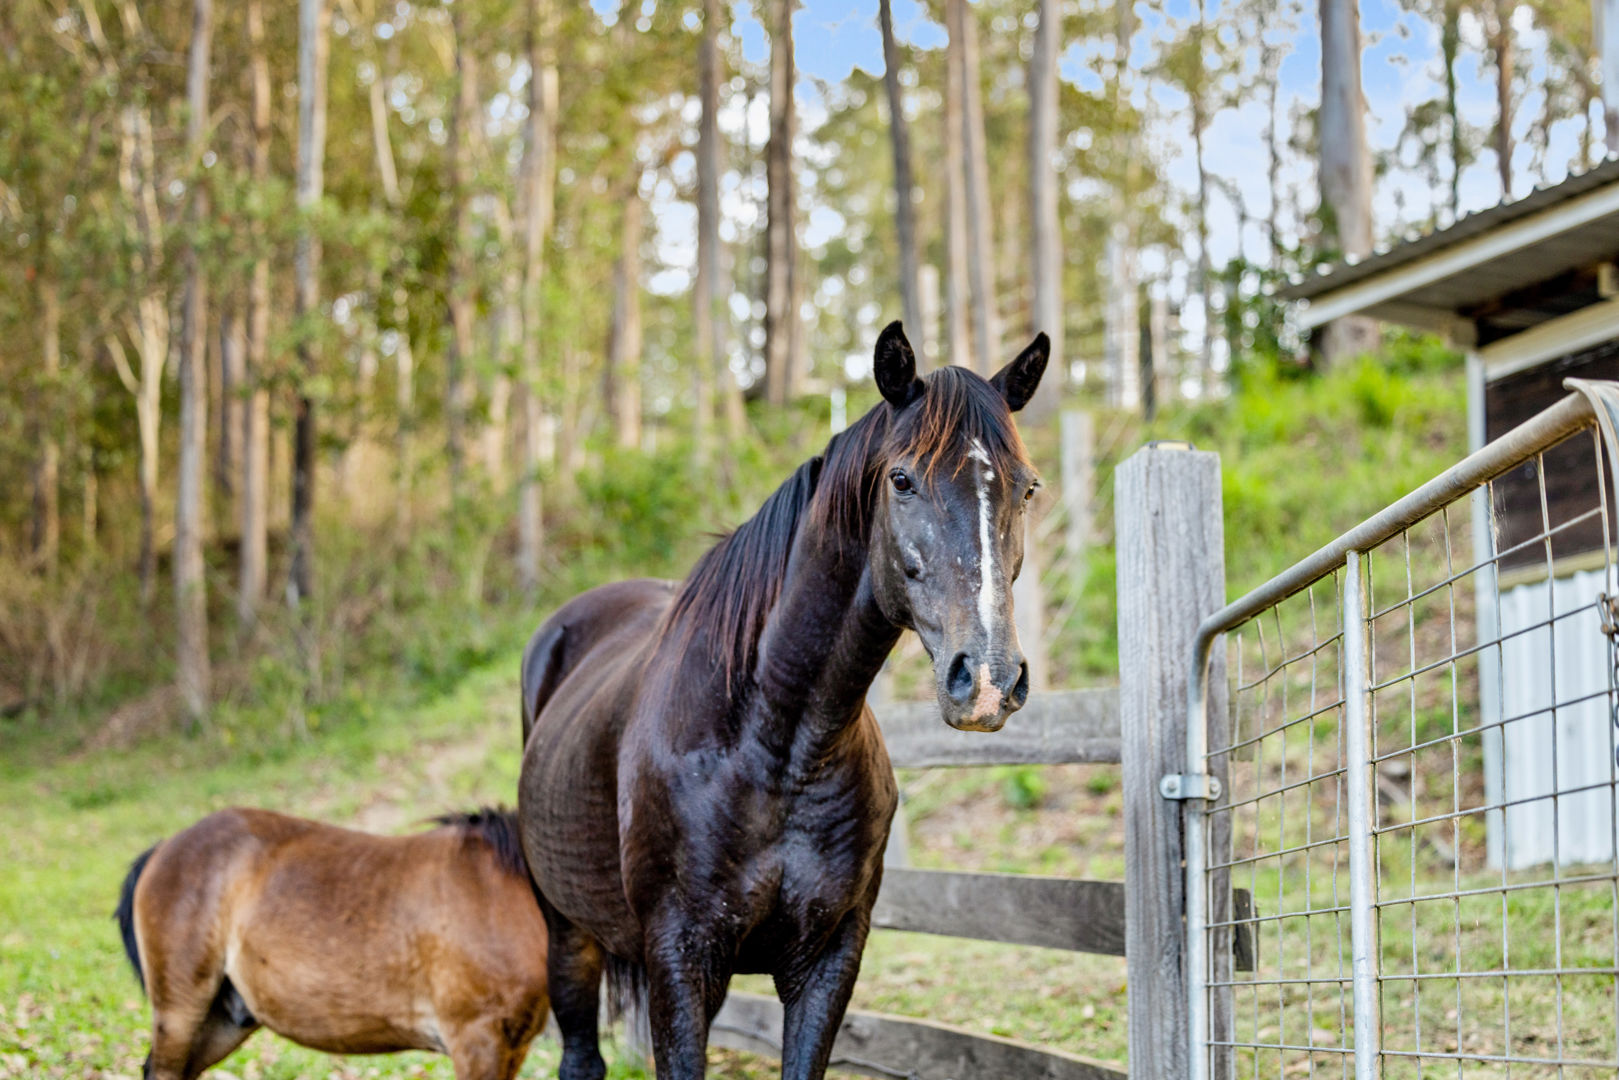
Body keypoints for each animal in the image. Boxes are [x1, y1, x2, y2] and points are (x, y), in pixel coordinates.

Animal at [114, 806, 550, 1080]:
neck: (505, 891)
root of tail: (164, 847)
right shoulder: (478, 1042)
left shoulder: (511, 1046)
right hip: (180, 1011)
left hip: (223, 1020)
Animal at [517, 320, 1049, 1080]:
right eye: (901, 479)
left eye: (1026, 489)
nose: (988, 681)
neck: (777, 745)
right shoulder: (679, 962)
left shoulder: (827, 960)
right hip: (568, 934)